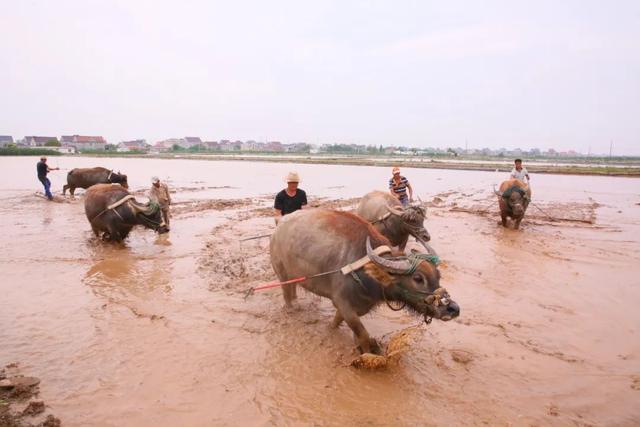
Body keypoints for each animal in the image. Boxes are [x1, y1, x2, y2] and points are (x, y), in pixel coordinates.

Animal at [270, 210, 460, 354]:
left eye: (438, 275)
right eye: (418, 278)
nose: (453, 308)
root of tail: (279, 226)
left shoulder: (352, 307)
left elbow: (339, 323)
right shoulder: (344, 304)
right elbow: (363, 334)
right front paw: (367, 354)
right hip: (281, 273)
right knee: (287, 293)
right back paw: (292, 308)